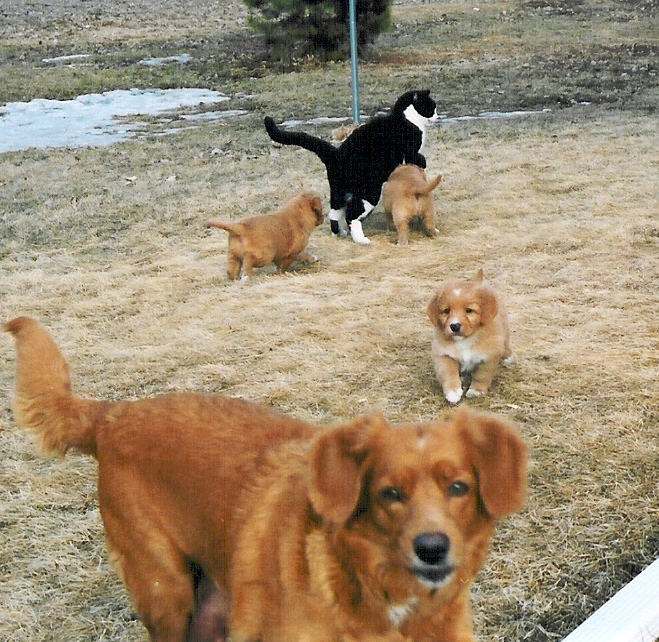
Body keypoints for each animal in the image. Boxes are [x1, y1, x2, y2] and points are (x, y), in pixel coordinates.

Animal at [426, 268, 512, 402]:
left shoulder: (488, 357)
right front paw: (452, 391)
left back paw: (507, 357)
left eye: (469, 310)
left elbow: (482, 376)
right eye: (446, 311)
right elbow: (448, 373)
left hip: (505, 331)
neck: (465, 340)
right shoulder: (443, 354)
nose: (454, 326)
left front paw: (477, 390)